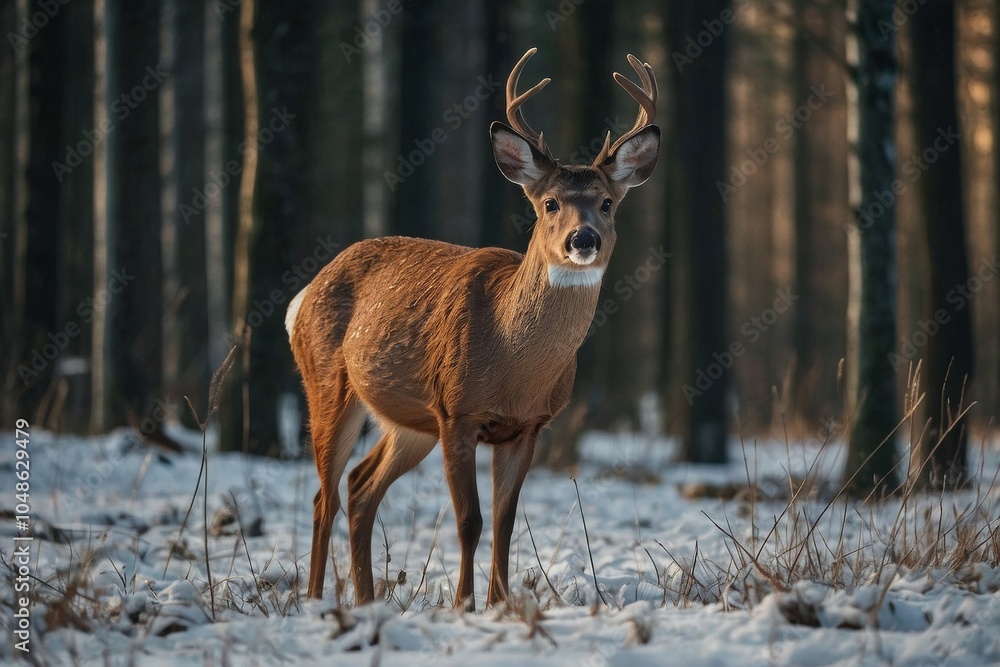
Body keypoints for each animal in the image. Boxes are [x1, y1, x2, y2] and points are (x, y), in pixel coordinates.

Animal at [286, 47, 659, 610]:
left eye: (608, 203)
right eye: (549, 203)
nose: (583, 239)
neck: (511, 363)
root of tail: (303, 296)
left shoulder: (526, 427)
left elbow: (505, 523)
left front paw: (498, 604)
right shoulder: (456, 412)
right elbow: (470, 521)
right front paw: (464, 604)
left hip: (408, 420)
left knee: (359, 486)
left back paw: (367, 600)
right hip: (329, 385)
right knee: (322, 496)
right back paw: (314, 600)